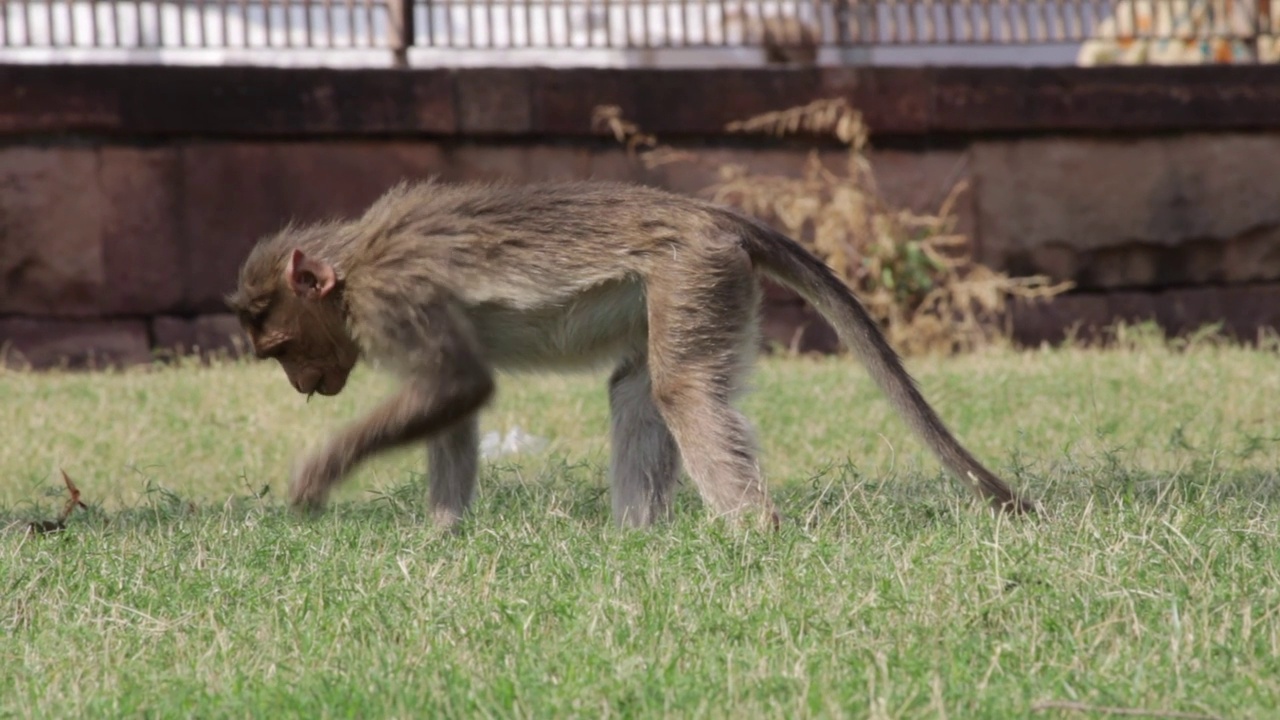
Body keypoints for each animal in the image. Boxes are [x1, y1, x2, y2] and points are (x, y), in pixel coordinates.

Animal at [225, 179, 1034, 527]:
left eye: (283, 347)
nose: (303, 384)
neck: (357, 261)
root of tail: (715, 217)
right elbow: (452, 401)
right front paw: (443, 535)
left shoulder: (395, 298)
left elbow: (458, 383)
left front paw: (321, 473)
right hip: (696, 289)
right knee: (640, 392)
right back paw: (636, 539)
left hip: (694, 275)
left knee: (680, 391)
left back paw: (755, 533)